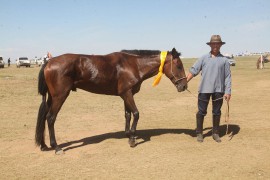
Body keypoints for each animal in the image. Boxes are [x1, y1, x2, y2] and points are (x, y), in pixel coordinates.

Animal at [35, 47, 188, 155]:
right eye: (179, 66)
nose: (184, 86)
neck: (134, 65)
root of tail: (49, 61)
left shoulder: (126, 94)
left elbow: (128, 115)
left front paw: (129, 135)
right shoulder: (127, 94)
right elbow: (136, 113)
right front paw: (132, 139)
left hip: (52, 97)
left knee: (44, 117)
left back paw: (44, 145)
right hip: (60, 96)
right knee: (50, 118)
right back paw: (56, 147)